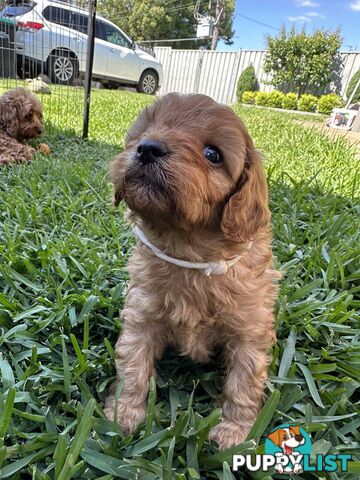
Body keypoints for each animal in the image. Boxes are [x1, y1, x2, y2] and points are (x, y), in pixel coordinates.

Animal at [105, 94, 280, 450]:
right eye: (146, 130)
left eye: (213, 154)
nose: (148, 147)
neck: (189, 250)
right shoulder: (141, 315)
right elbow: (132, 364)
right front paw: (124, 413)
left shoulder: (249, 331)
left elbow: (244, 381)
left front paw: (235, 432)